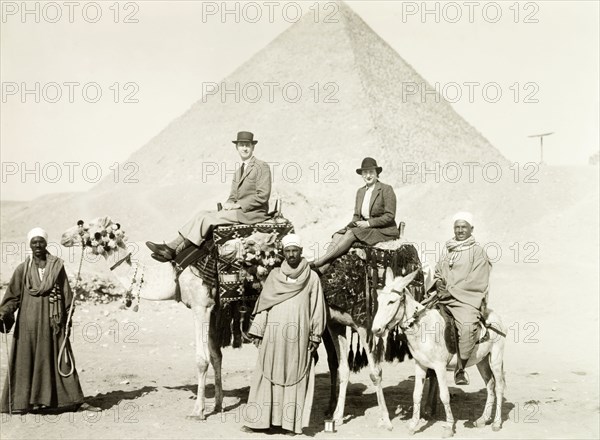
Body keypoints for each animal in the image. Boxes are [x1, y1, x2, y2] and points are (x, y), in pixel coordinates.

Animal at [370, 268, 506, 436]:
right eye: (379, 299)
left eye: (392, 301)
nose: (376, 330)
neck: (423, 327)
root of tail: (494, 315)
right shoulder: (420, 365)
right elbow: (416, 394)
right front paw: (413, 425)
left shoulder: (440, 367)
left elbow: (445, 396)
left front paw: (449, 427)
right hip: (481, 361)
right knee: (490, 384)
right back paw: (483, 419)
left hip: (496, 359)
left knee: (499, 386)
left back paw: (496, 422)